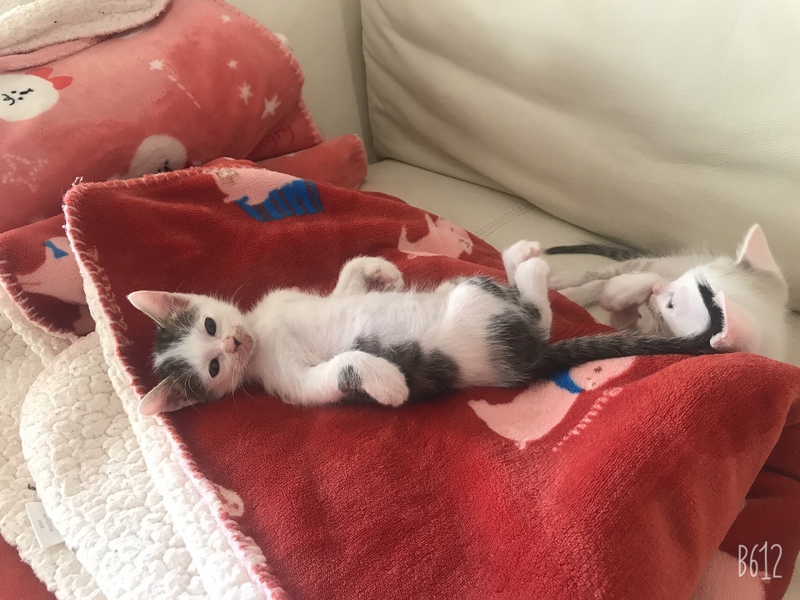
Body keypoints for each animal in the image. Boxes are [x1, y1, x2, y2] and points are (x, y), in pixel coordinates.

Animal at [127, 240, 724, 415]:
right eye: (214, 367)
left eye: (211, 323)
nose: (235, 341)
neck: (263, 331)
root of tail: (532, 360)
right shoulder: (291, 383)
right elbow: (341, 369)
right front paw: (391, 385)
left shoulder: (293, 300)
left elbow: (346, 282)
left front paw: (382, 272)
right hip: (481, 308)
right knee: (536, 313)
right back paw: (529, 265)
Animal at [546, 225, 789, 361]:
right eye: (686, 275)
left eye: (671, 305)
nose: (657, 289)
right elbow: (646, 278)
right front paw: (632, 288)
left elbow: (620, 323)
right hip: (650, 262)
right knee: (603, 274)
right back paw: (563, 283)